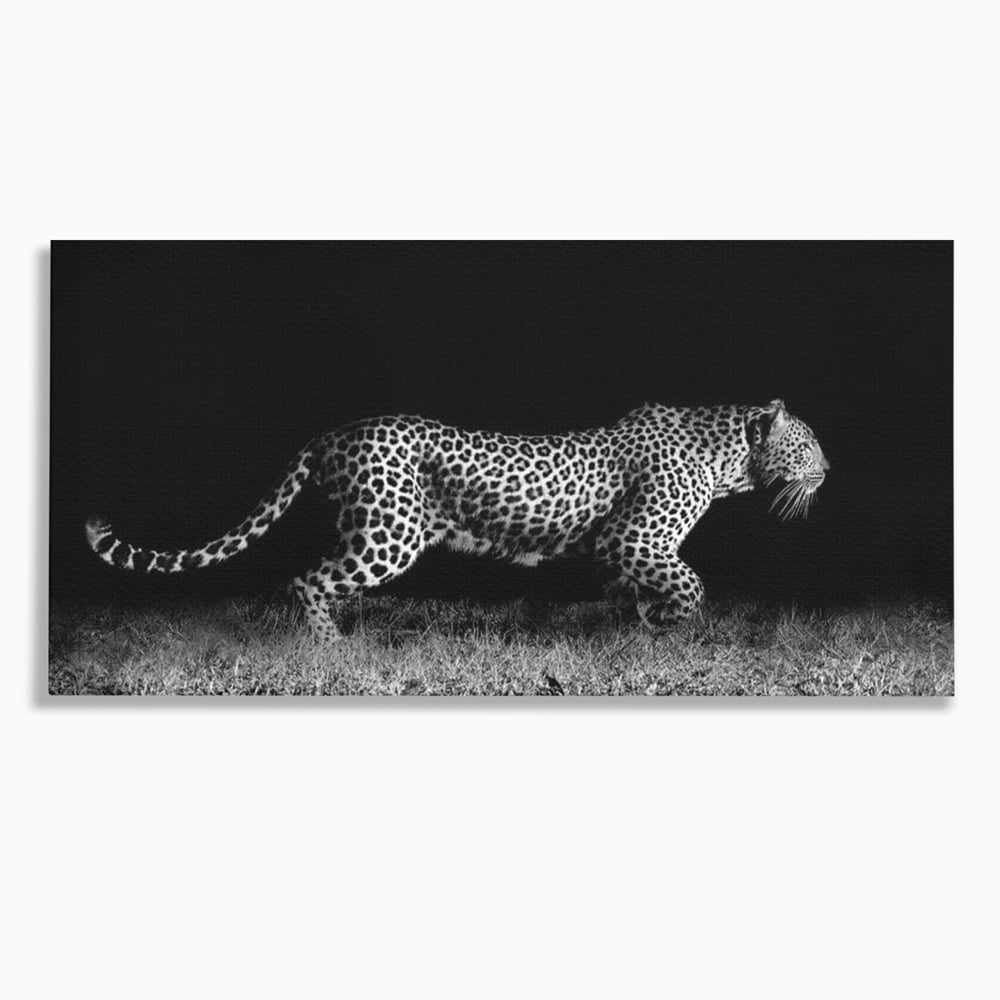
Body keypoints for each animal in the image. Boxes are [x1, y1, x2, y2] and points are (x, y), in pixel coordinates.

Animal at [86, 399, 829, 642]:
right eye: (811, 444)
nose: (831, 467)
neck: (729, 459)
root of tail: (333, 433)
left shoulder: (621, 550)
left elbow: (635, 591)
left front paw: (639, 626)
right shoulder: (634, 538)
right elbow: (691, 584)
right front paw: (670, 623)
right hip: (390, 532)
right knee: (307, 580)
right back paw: (334, 648)